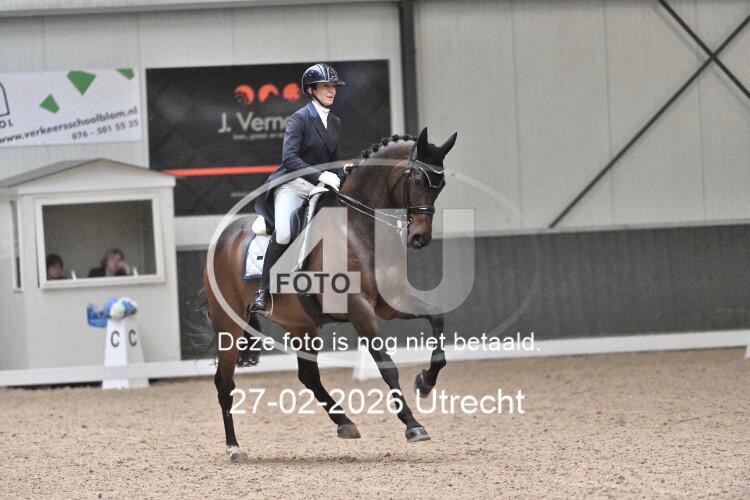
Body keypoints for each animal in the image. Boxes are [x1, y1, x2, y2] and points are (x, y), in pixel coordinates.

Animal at [203, 127, 458, 461]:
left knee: (309, 376)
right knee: (224, 381)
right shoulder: (359, 309)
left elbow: (437, 320)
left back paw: (345, 423)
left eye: (440, 186)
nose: (419, 238)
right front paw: (413, 425)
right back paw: (234, 447)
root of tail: (222, 239)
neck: (358, 228)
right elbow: (386, 365)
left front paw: (425, 382)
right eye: (416, 179)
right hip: (228, 325)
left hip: (301, 324)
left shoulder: (390, 304)